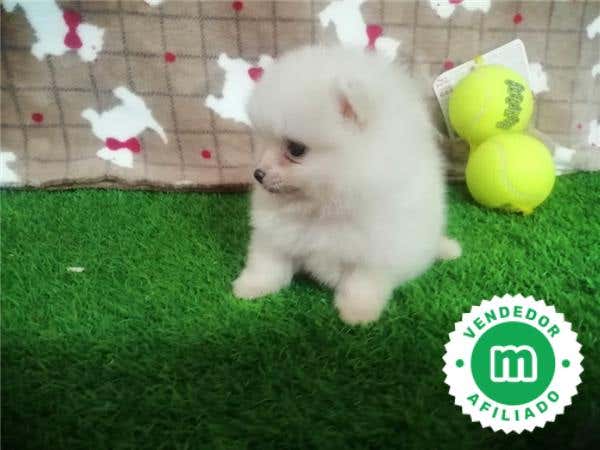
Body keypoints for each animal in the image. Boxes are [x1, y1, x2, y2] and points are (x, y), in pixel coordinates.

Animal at [233, 46, 461, 325]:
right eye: (263, 141)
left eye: (296, 149)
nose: (258, 173)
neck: (322, 207)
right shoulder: (276, 234)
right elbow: (267, 263)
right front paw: (252, 287)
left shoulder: (375, 252)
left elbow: (361, 284)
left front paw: (357, 313)